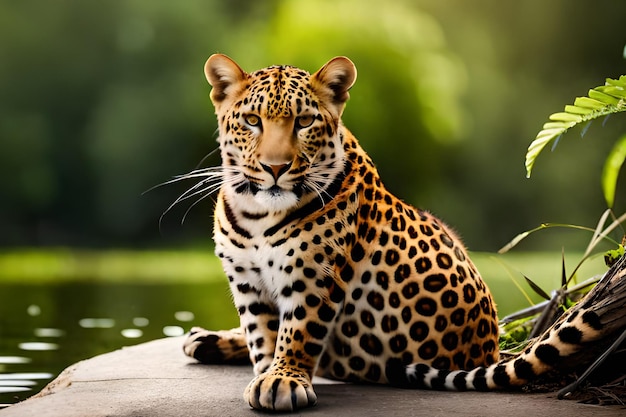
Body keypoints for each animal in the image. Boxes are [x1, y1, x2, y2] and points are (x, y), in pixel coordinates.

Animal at [179, 54, 620, 410]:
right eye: (252, 121)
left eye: (304, 122)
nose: (275, 168)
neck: (257, 215)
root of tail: (488, 346)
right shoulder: (246, 281)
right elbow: (261, 334)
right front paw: (267, 370)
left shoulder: (316, 276)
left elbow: (298, 330)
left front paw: (282, 379)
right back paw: (207, 339)